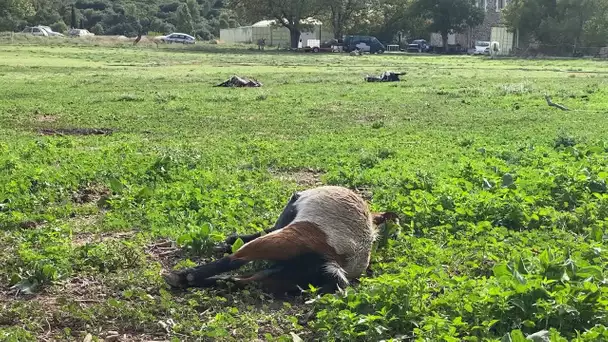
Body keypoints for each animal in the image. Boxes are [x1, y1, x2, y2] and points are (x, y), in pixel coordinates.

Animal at [163, 186, 400, 296]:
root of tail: (340, 263)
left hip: (285, 241)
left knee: (236, 260)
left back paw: (180, 276)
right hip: (283, 277)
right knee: (239, 280)